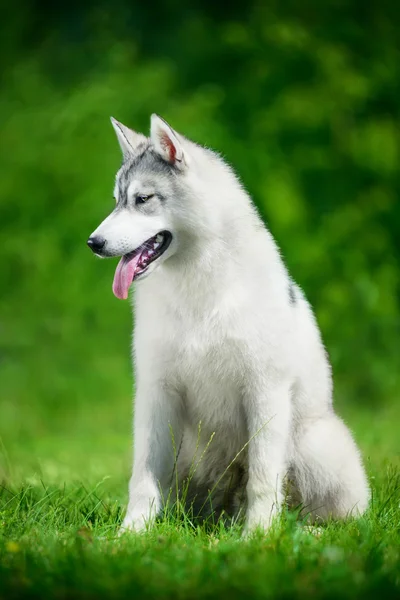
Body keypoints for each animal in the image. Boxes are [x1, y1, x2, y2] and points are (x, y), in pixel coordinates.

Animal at [87, 115, 368, 532]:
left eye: (143, 199)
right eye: (117, 201)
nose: (94, 243)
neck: (196, 288)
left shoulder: (265, 391)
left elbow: (264, 479)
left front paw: (259, 537)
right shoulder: (157, 394)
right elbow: (145, 476)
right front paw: (132, 532)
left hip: (313, 446)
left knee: (333, 515)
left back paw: (302, 530)